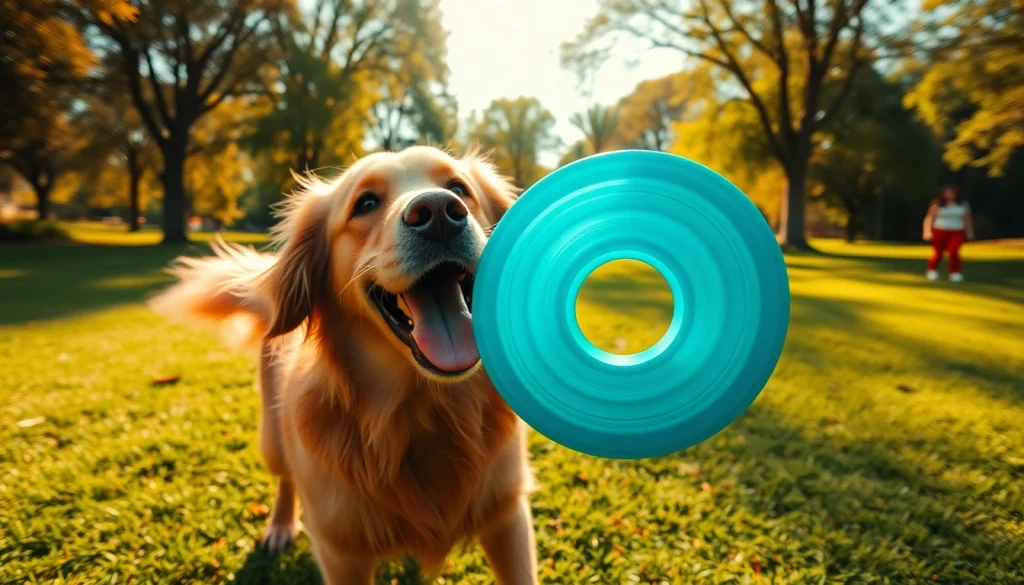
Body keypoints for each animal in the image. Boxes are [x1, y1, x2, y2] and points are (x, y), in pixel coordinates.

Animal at [150, 146, 540, 585]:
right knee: (285, 479)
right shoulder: (341, 551)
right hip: (273, 438)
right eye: (365, 203)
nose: (439, 212)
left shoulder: (508, 516)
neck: (421, 409)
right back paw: (279, 526)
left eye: (459, 189)